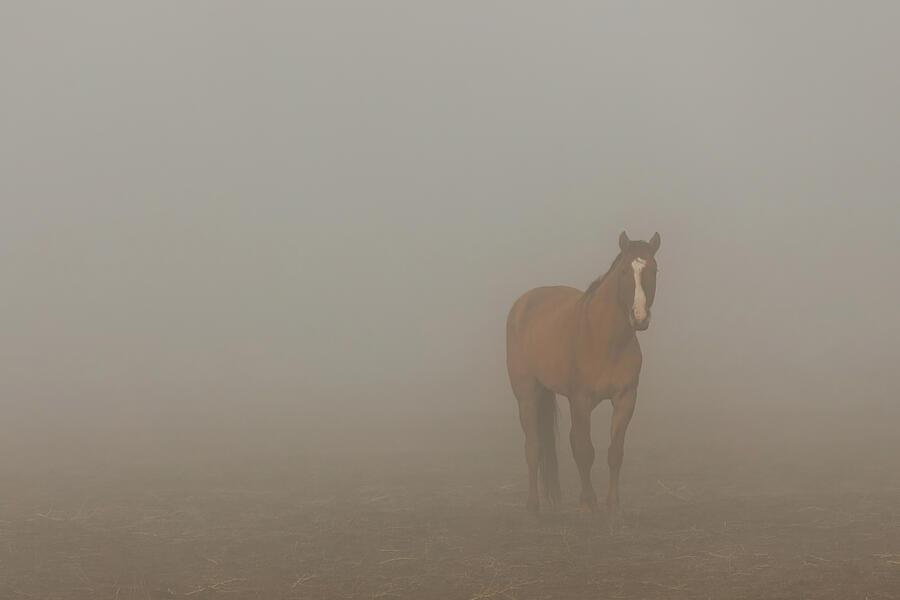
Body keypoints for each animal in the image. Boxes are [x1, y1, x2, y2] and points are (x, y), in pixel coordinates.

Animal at [506, 231, 660, 528]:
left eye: (654, 270)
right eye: (624, 272)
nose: (639, 318)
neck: (606, 339)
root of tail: (522, 303)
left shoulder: (625, 398)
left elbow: (614, 453)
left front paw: (613, 509)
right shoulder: (581, 400)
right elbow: (585, 451)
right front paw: (589, 506)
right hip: (527, 393)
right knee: (533, 447)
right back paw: (533, 508)